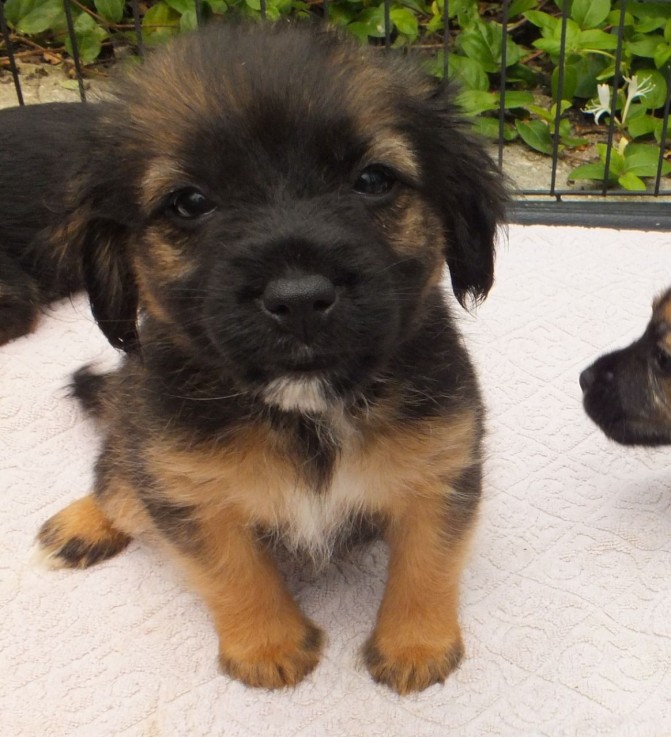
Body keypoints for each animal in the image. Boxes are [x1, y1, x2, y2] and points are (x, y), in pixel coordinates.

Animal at [35, 21, 510, 688]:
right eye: (188, 202)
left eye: (374, 180)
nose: (300, 298)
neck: (306, 408)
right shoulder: (190, 493)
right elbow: (234, 574)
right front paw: (269, 647)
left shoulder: (440, 467)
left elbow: (428, 562)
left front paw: (415, 646)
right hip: (139, 460)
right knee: (115, 479)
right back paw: (82, 523)